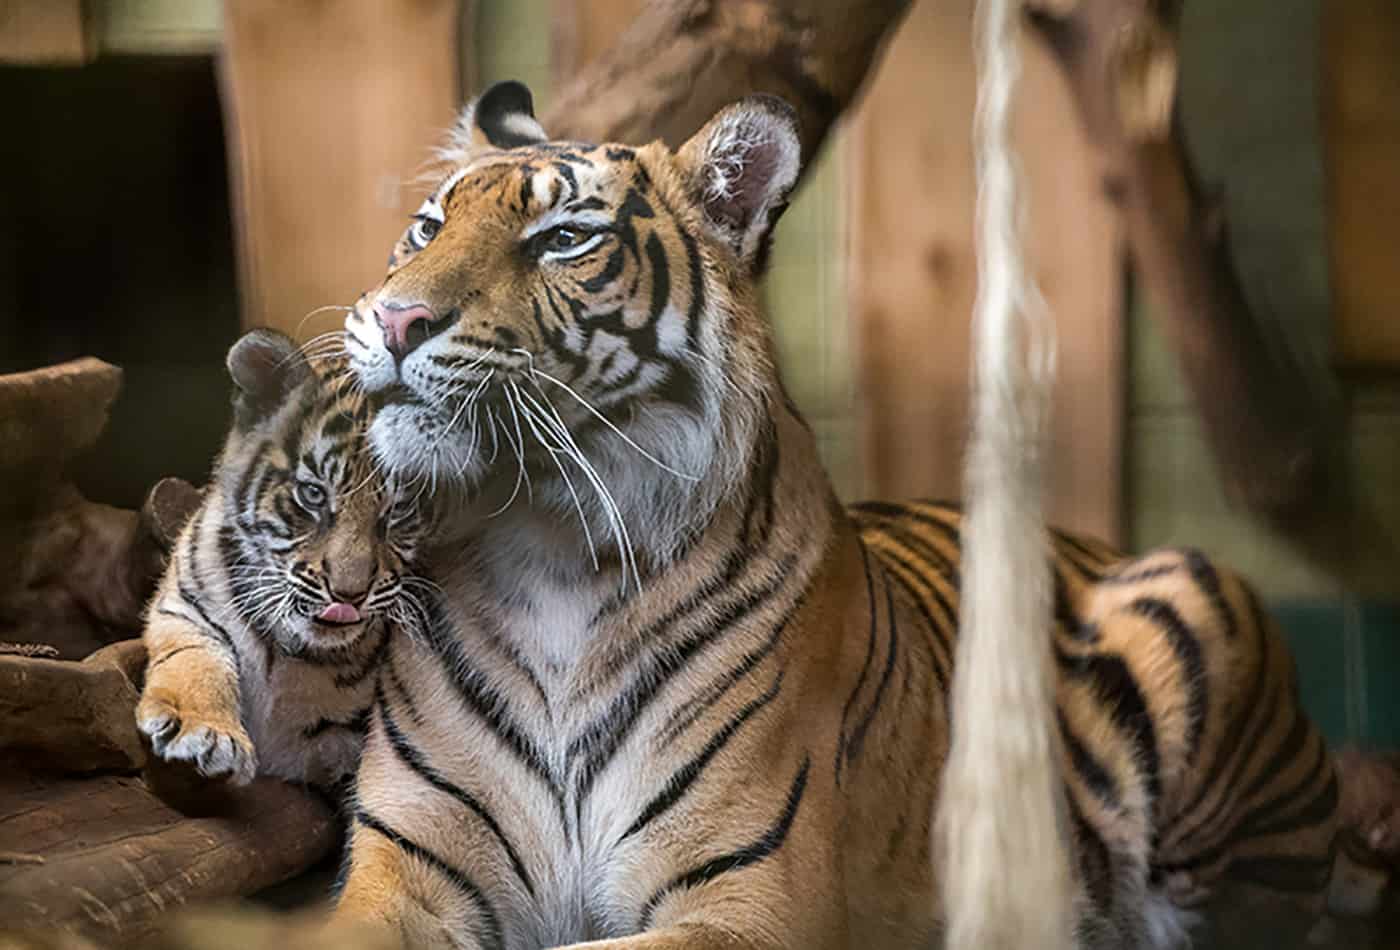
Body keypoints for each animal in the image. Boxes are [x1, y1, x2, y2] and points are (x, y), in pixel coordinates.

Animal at [333, 83, 1338, 950]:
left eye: (566, 238)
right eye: (426, 228)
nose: (395, 319)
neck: (544, 538)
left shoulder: (751, 905)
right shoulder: (405, 868)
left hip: (1192, 605)